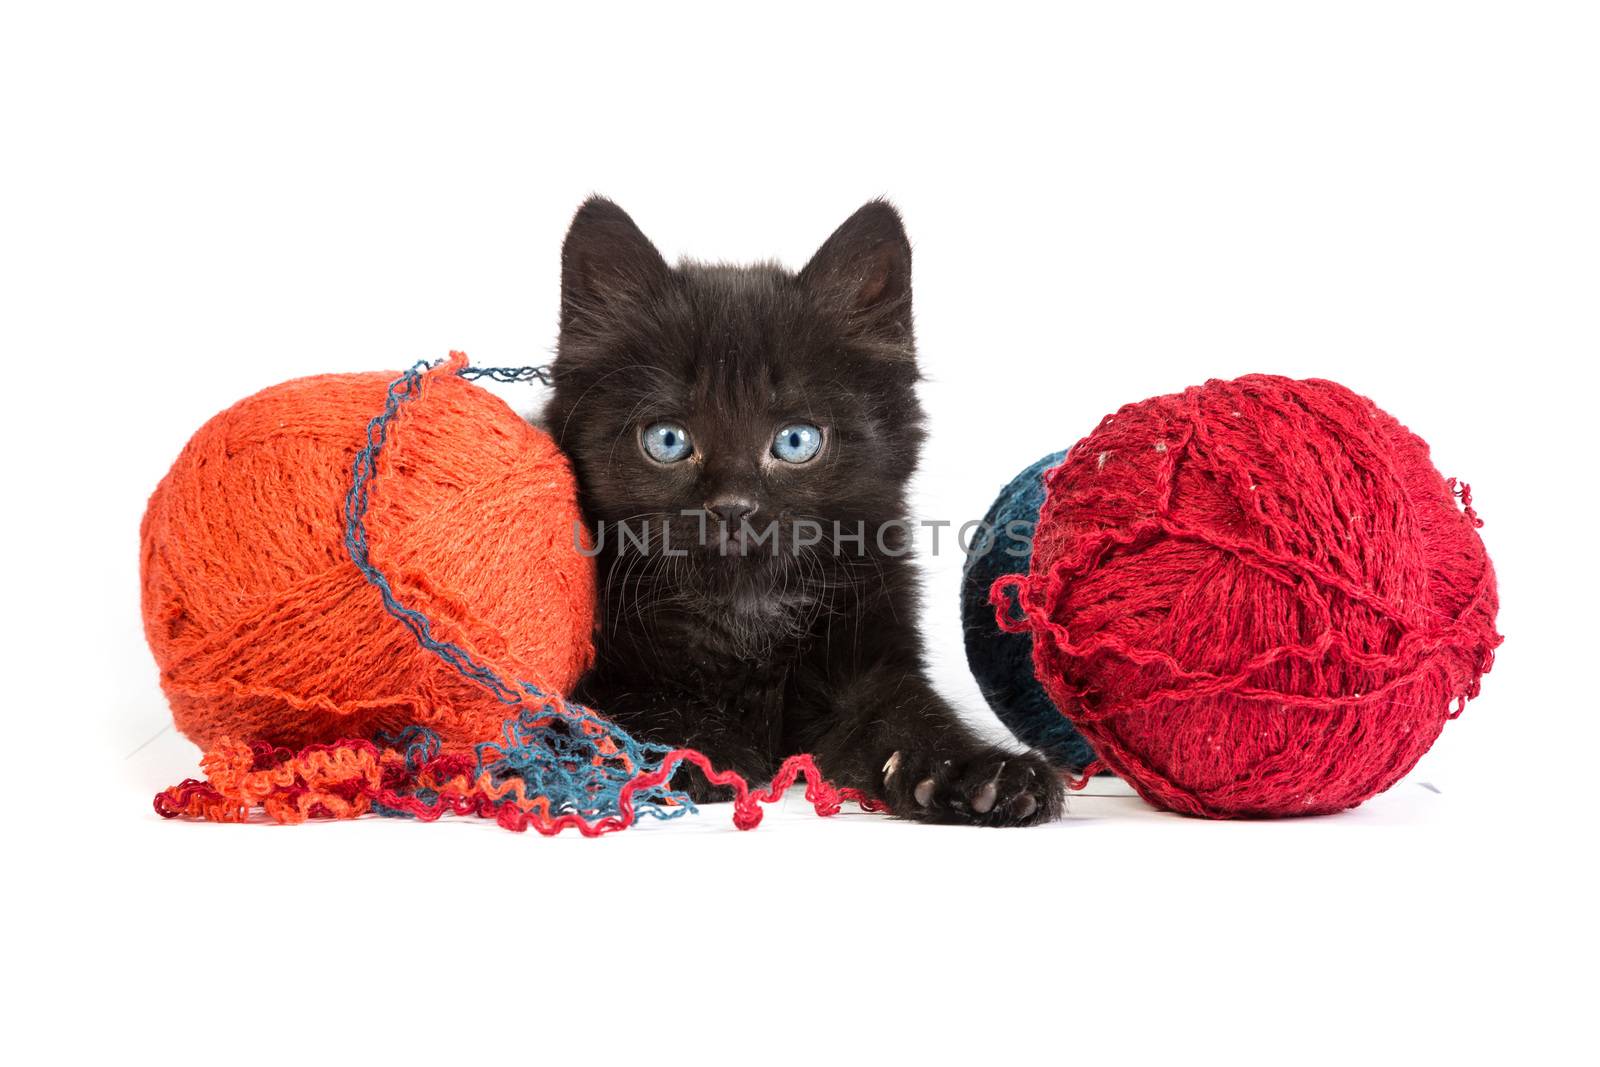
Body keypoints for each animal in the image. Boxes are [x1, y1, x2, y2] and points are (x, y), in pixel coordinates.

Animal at [547, 195, 1062, 825]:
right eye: (667, 440)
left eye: (795, 441)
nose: (733, 507)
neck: (743, 610)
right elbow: (625, 700)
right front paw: (698, 751)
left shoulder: (873, 660)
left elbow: (910, 714)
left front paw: (977, 774)